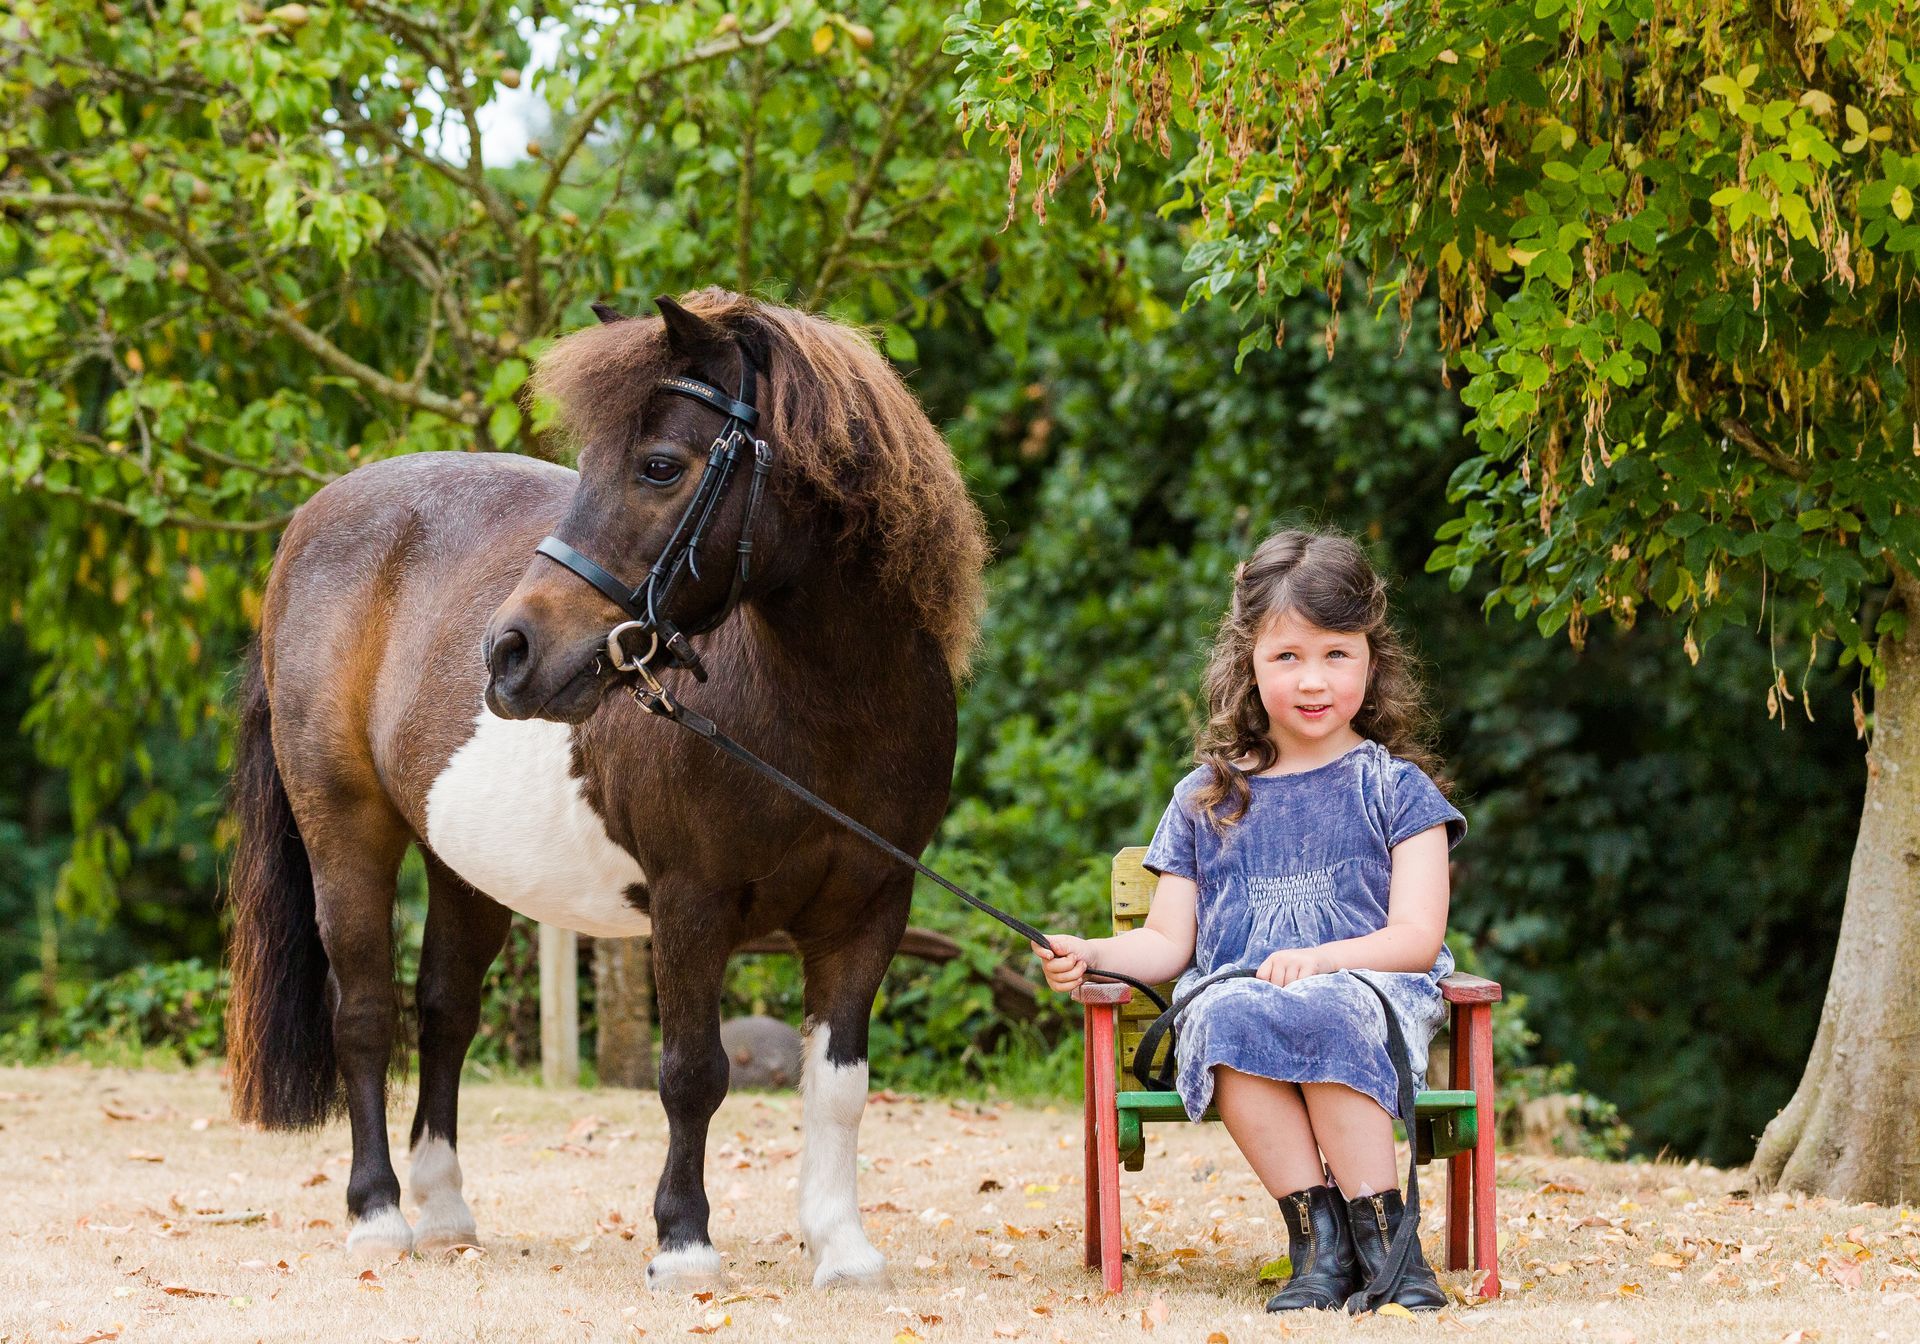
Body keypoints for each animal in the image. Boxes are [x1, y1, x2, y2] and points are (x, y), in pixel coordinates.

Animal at [223, 289, 987, 1290]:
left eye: (660, 466)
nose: (508, 652)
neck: (831, 707)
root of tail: (311, 525)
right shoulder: (691, 904)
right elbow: (694, 1074)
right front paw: (685, 1245)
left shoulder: (870, 911)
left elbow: (840, 1085)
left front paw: (841, 1248)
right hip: (346, 833)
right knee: (365, 1015)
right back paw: (380, 1216)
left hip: (463, 865)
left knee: (444, 1011)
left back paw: (446, 1209)